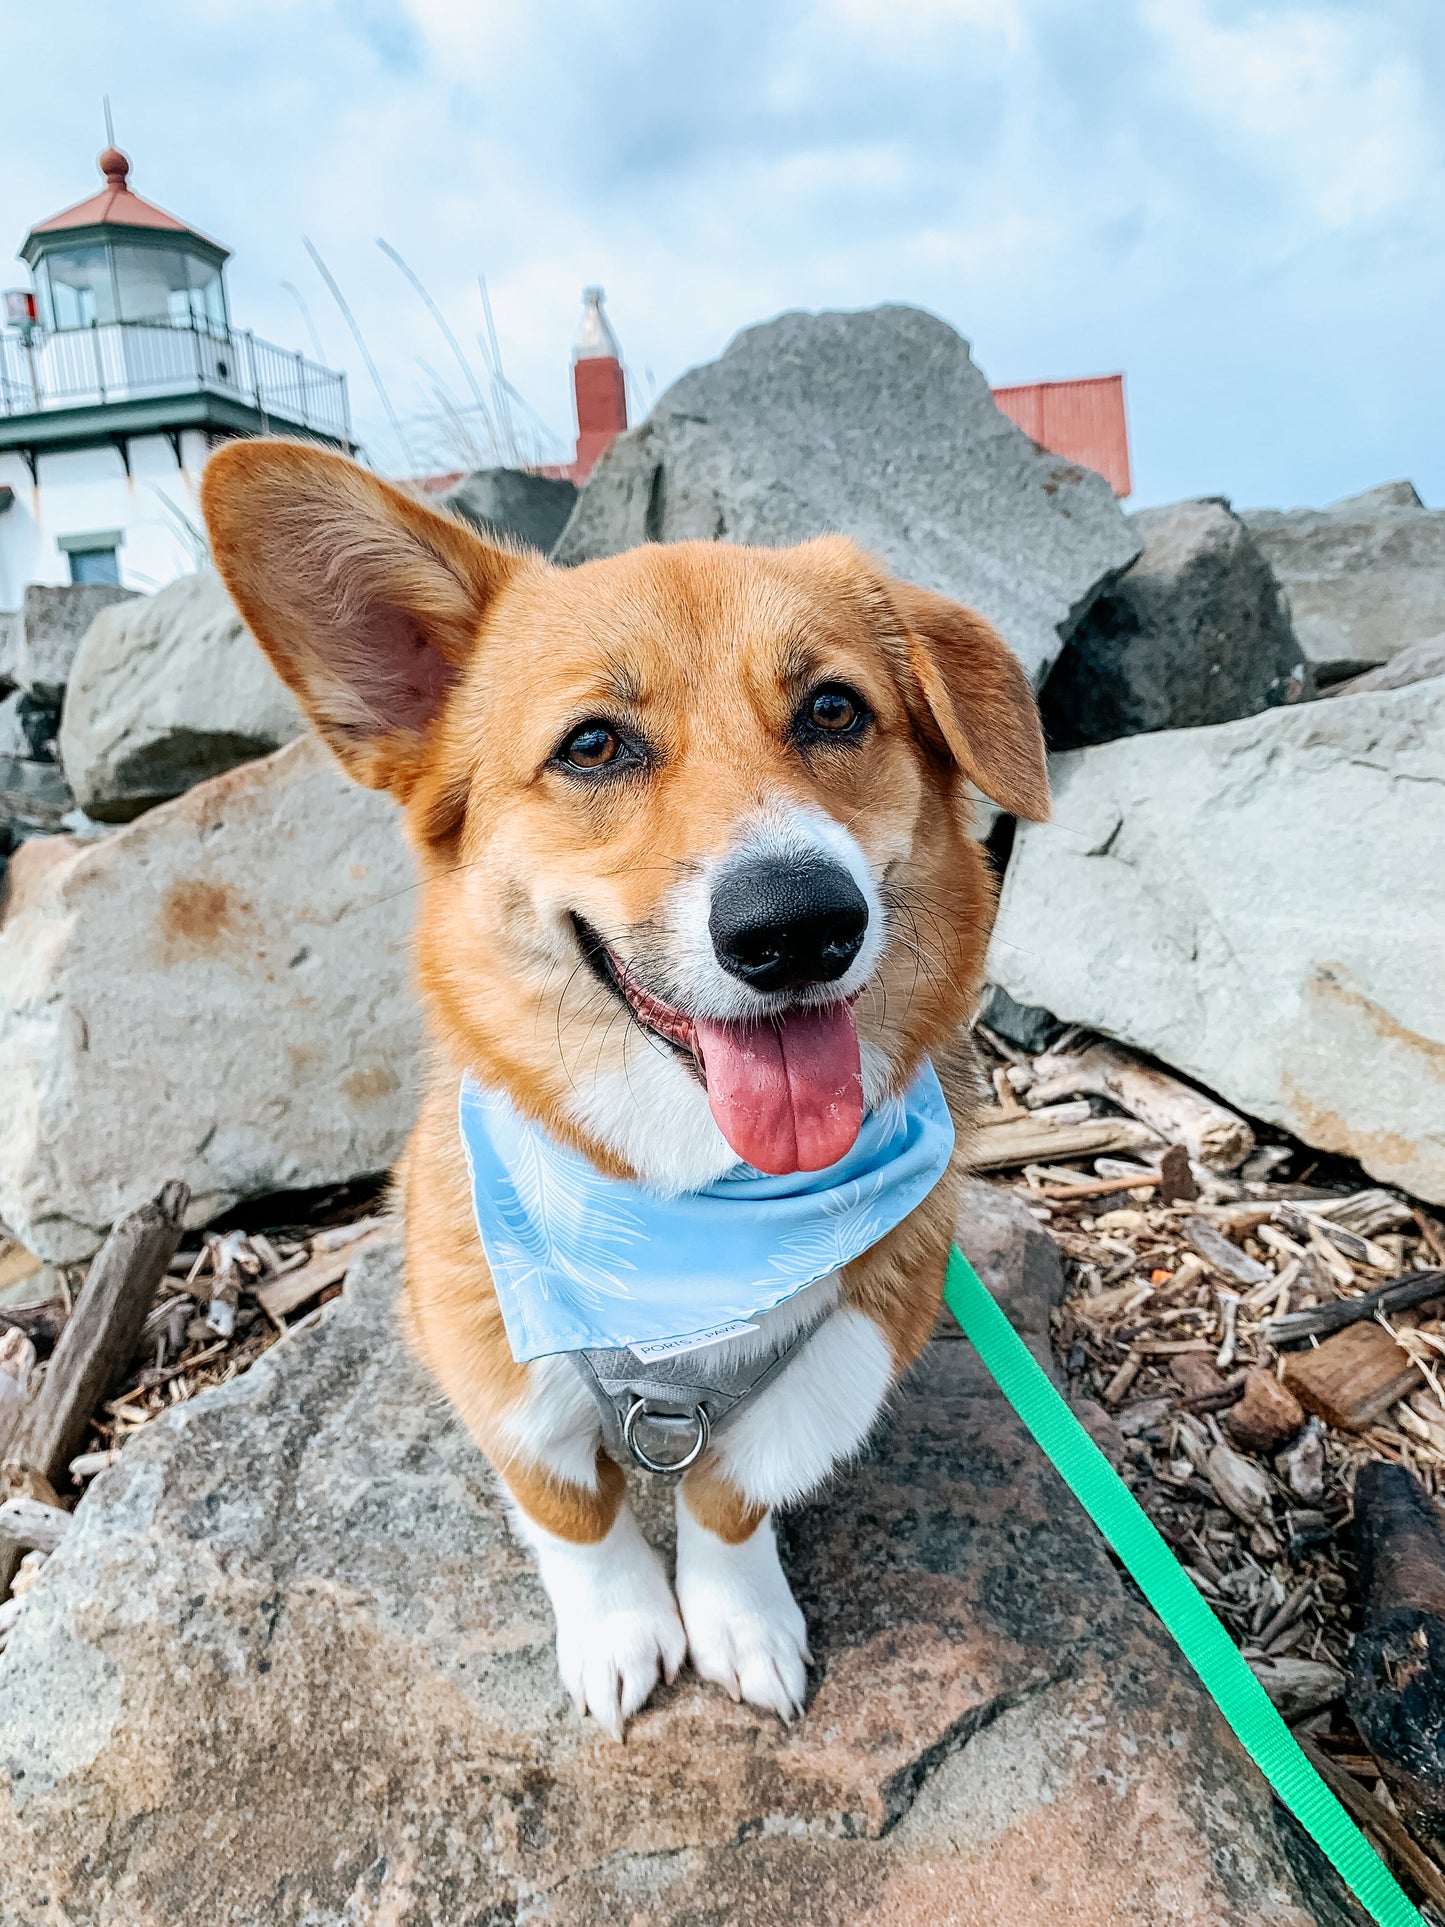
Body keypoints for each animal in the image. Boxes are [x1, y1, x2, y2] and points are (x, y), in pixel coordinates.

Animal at [201, 443, 1055, 1742]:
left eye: (833, 709)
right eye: (593, 745)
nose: (797, 926)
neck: (691, 1209)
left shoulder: (844, 1347)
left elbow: (729, 1497)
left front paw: (737, 1621)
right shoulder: (497, 1365)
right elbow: (572, 1512)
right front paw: (618, 1632)